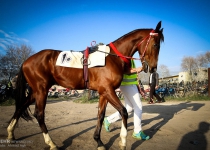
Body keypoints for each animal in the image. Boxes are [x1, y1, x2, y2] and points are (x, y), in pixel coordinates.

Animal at [6, 20, 164, 149]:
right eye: (155, 44)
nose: (152, 68)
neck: (112, 58)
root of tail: (26, 61)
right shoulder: (108, 90)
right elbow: (123, 111)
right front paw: (123, 142)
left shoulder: (103, 92)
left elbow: (100, 115)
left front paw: (99, 141)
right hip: (41, 90)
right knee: (39, 114)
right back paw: (51, 143)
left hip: (36, 91)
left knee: (20, 107)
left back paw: (10, 133)